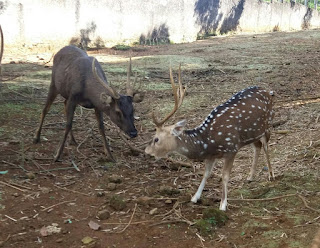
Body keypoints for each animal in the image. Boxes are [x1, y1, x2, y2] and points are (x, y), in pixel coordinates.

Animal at [145, 66, 276, 211]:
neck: (207, 142)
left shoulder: (231, 149)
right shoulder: (211, 156)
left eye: (156, 139)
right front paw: (195, 197)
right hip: (252, 134)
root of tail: (268, 91)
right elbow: (206, 173)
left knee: (266, 147)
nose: (146, 151)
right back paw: (250, 177)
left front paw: (223, 204)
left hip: (268, 125)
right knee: (257, 147)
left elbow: (225, 176)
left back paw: (271, 175)